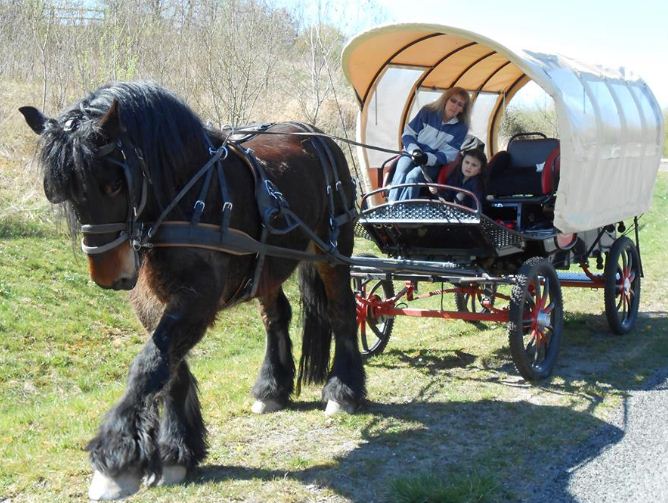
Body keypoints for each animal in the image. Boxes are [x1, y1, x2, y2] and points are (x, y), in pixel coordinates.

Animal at [19, 81, 366, 500]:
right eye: (62, 193)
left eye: (115, 183)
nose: (109, 276)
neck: (185, 196)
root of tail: (315, 134)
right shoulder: (152, 301)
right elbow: (168, 368)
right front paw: (177, 451)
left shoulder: (197, 300)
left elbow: (149, 365)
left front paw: (116, 461)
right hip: (268, 265)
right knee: (276, 318)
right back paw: (272, 388)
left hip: (333, 250)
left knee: (342, 311)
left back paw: (344, 390)